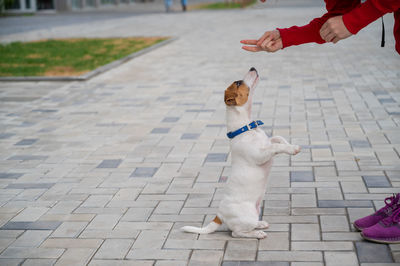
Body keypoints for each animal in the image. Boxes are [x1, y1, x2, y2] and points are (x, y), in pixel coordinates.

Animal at [182, 67, 300, 239]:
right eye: (238, 83)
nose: (252, 67)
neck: (246, 128)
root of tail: (219, 215)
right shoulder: (259, 156)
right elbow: (274, 147)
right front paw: (293, 149)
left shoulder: (267, 142)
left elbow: (278, 139)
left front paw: (290, 146)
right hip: (247, 216)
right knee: (236, 233)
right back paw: (258, 233)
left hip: (254, 211)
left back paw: (260, 224)